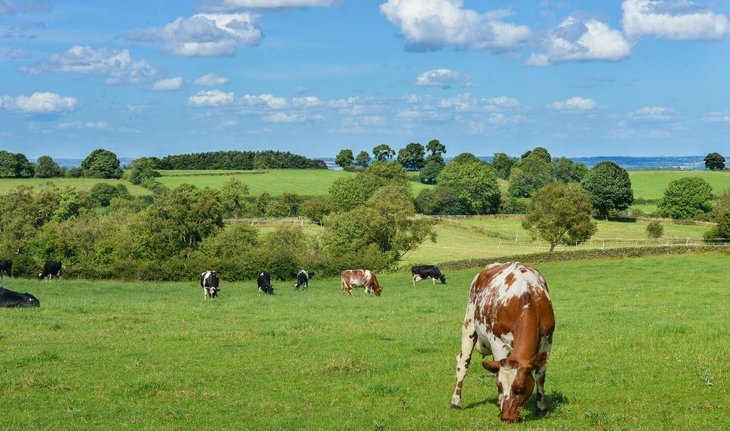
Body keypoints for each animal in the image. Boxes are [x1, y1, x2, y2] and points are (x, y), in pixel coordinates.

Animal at [446, 262, 556, 424]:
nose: (506, 418)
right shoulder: (498, 343)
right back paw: (455, 402)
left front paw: (541, 407)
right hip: (468, 325)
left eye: (520, 389)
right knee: (463, 363)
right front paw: (500, 401)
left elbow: (540, 376)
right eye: (499, 386)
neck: (526, 296)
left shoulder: (548, 341)